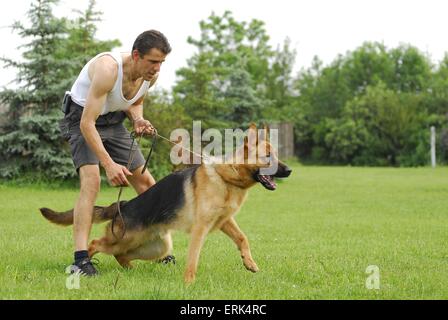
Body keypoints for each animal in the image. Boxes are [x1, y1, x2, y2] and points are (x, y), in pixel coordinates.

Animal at [40, 125, 292, 282]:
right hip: (125, 238)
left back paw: (130, 270)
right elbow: (194, 256)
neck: (227, 176)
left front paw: (249, 263)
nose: (289, 170)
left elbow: (242, 238)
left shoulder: (224, 221)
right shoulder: (201, 228)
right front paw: (189, 282)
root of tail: (124, 205)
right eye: (268, 157)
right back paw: (85, 265)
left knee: (122, 255)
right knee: (95, 243)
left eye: (276, 155)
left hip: (153, 247)